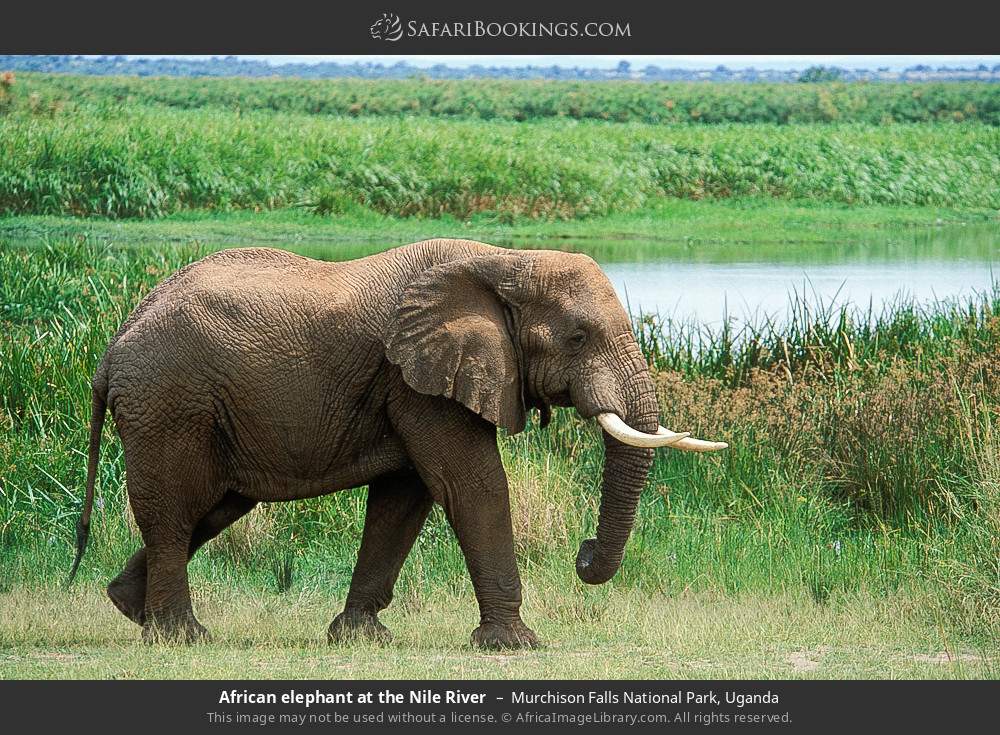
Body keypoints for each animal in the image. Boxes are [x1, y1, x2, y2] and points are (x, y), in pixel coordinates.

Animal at [69, 239, 726, 649]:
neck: (503, 262)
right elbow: (471, 484)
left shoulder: (415, 383)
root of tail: (112, 347)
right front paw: (514, 645)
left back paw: (129, 608)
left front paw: (360, 637)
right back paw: (180, 636)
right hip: (168, 402)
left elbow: (405, 499)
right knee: (175, 510)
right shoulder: (419, 383)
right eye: (579, 336)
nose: (584, 555)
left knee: (213, 507)